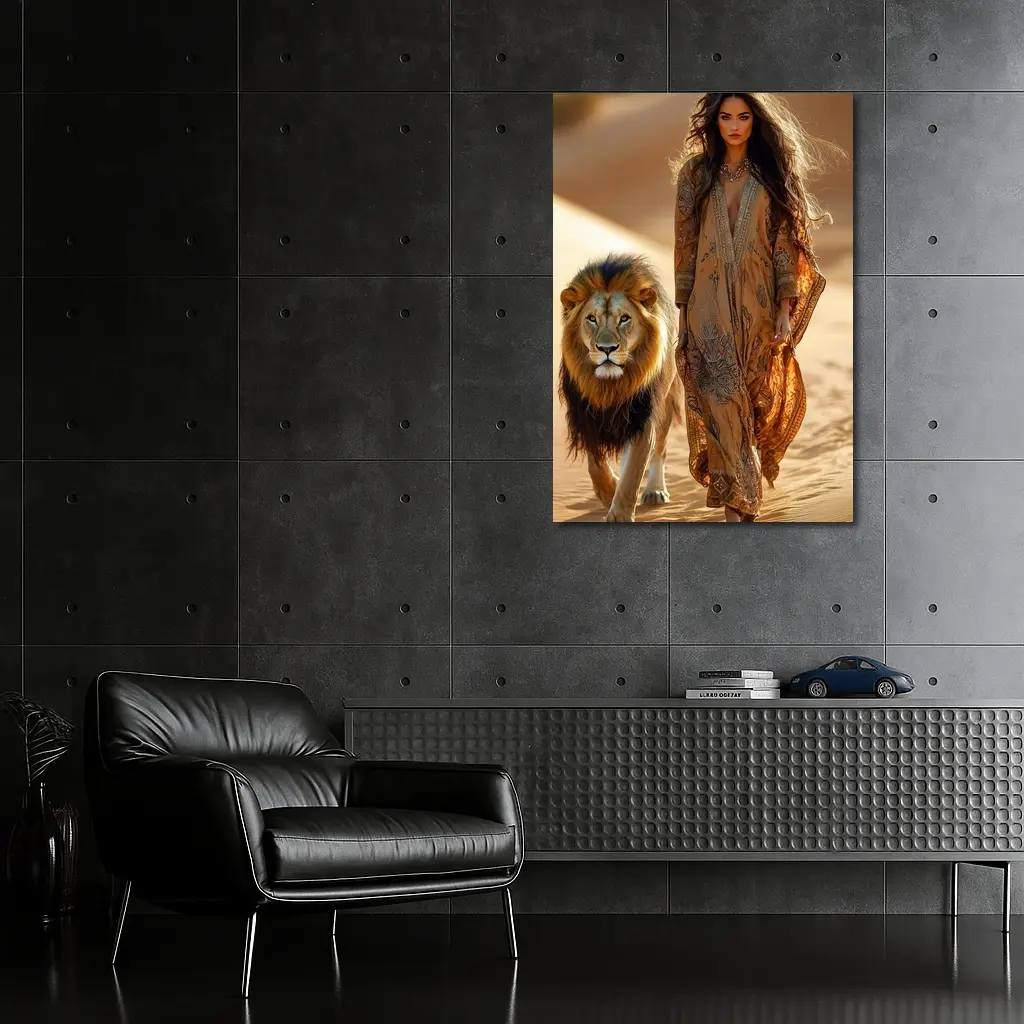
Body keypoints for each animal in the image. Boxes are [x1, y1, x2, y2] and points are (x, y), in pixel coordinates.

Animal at [558, 252, 683, 522]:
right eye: (591, 319)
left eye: (624, 318)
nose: (607, 349)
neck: (610, 386)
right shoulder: (585, 415)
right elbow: (595, 463)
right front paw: (608, 491)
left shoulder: (641, 417)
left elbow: (633, 473)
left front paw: (620, 514)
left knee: (660, 450)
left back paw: (655, 490)